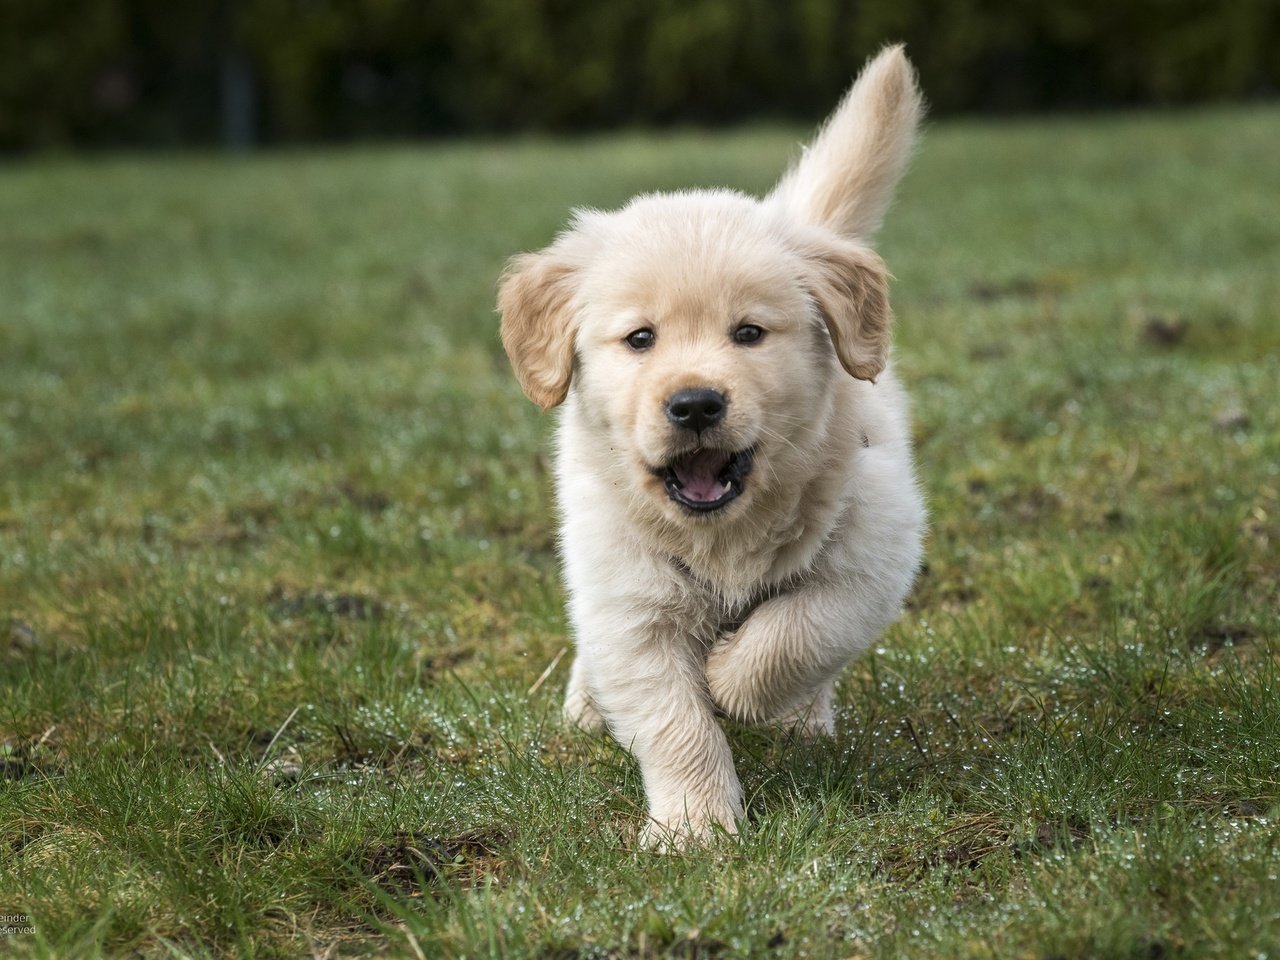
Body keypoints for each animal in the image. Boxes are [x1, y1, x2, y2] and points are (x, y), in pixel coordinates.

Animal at [494, 47, 926, 849]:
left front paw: (732, 683)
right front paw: (694, 830)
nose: (695, 403)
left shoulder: (872, 548)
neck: (722, 535)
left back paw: (799, 719)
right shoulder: (629, 604)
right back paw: (588, 705)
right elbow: (674, 721)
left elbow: (796, 631)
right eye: (640, 338)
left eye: (749, 333)